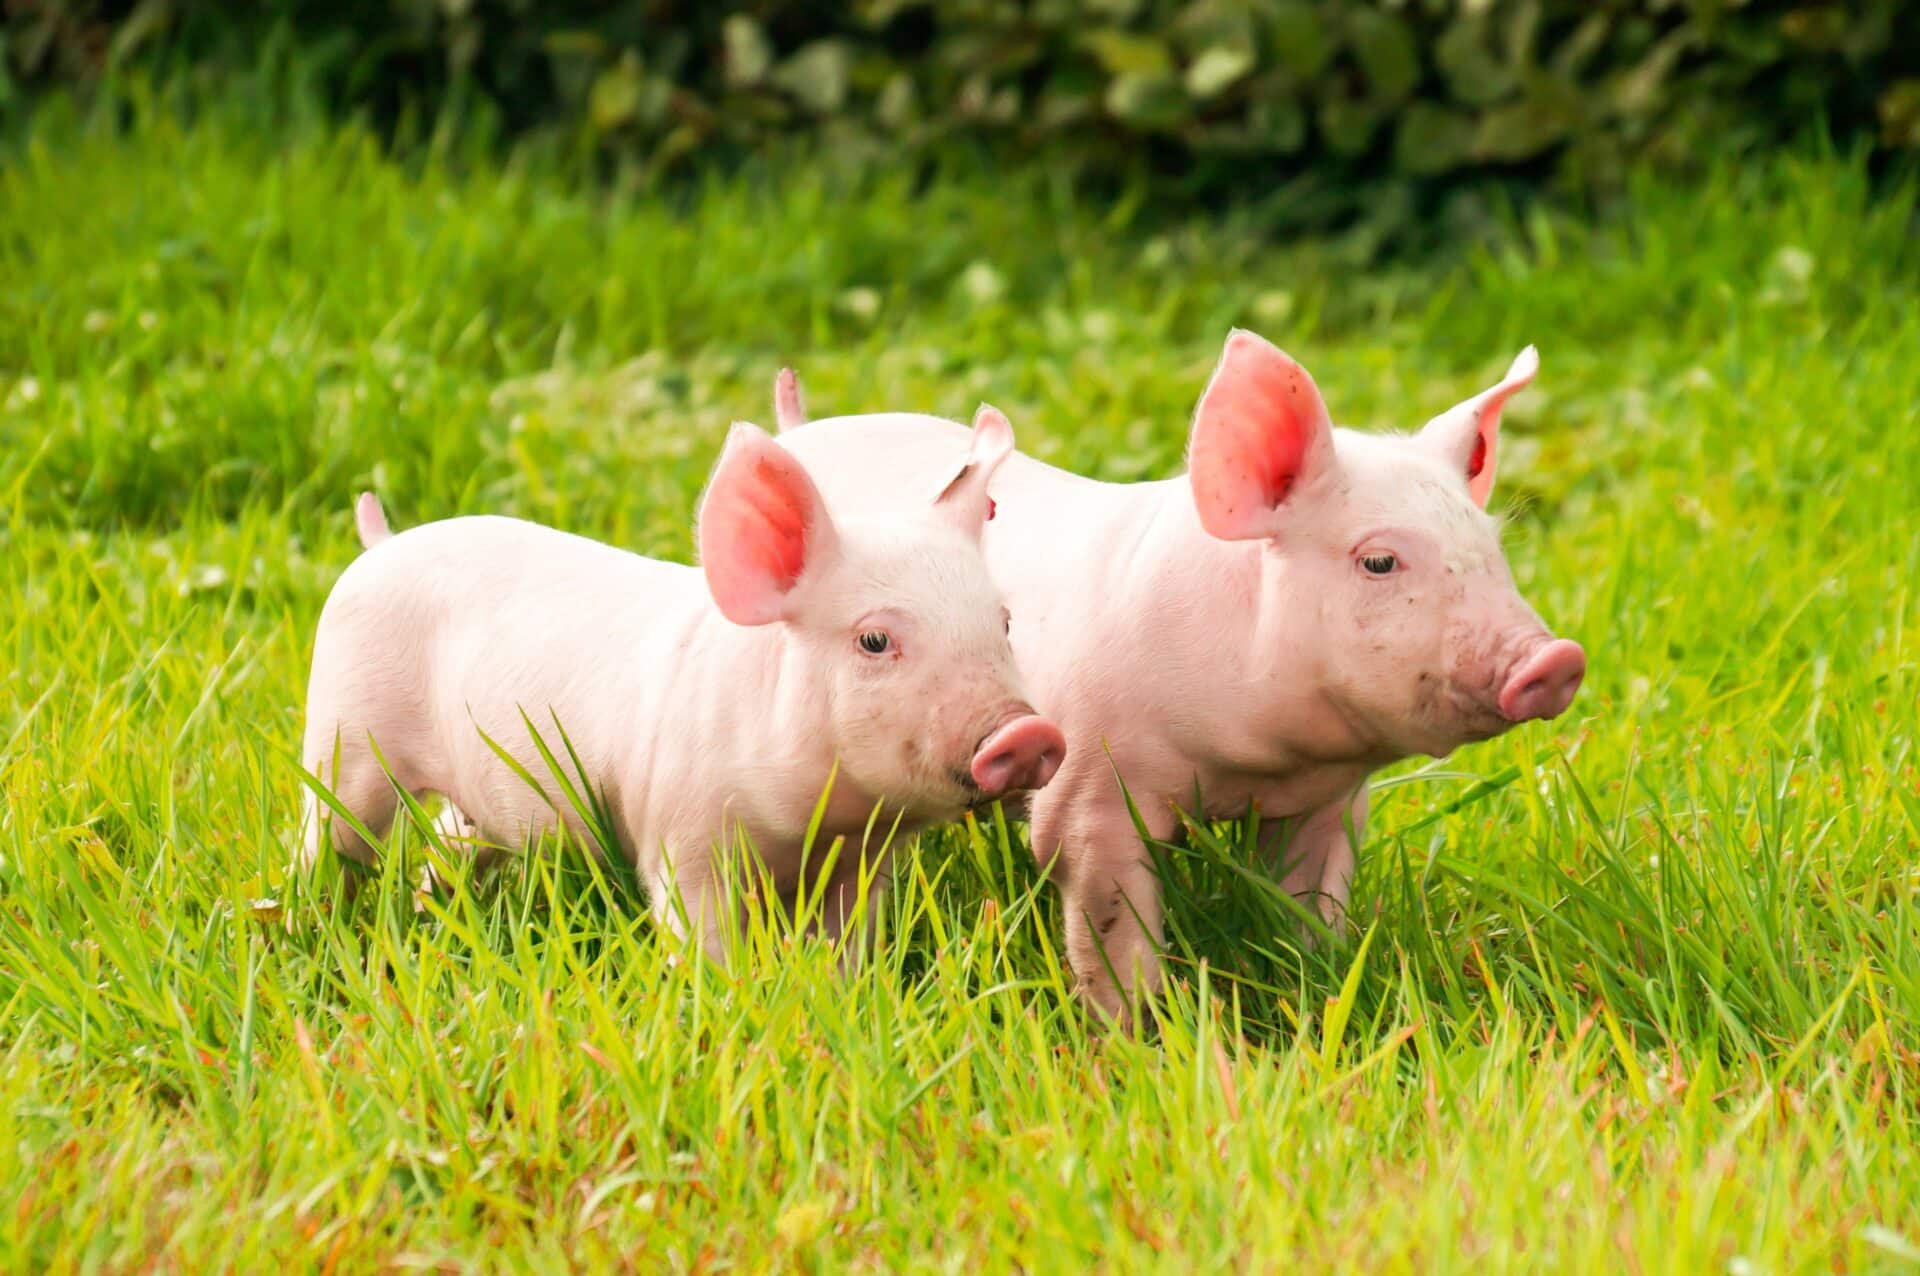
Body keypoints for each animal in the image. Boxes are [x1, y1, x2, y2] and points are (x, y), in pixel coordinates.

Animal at [298, 412, 1066, 962]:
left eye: (1002, 622)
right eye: (874, 641)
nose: (1029, 731)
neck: (815, 826)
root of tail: (380, 543)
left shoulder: (859, 864)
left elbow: (846, 943)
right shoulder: (683, 833)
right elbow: (704, 937)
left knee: (450, 845)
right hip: (342, 729)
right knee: (331, 835)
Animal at [775, 331, 1585, 1019]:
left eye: (1492, 548)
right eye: (1379, 560)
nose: (1557, 660)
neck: (1259, 759)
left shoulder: (1331, 800)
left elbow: (1312, 906)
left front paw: (1315, 988)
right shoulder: (1089, 784)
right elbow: (1104, 914)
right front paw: (1135, 1037)